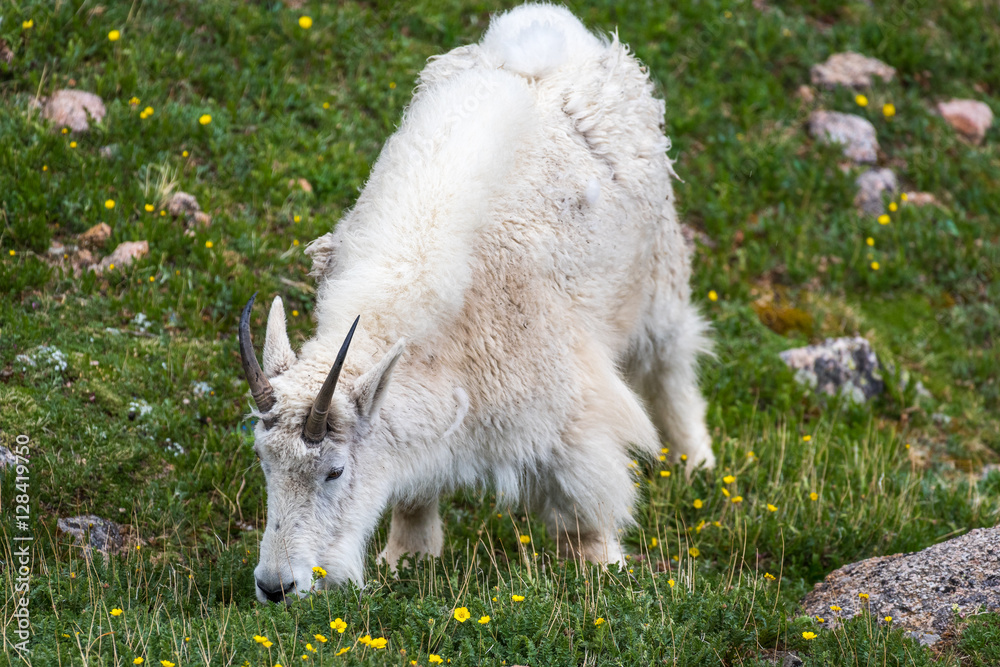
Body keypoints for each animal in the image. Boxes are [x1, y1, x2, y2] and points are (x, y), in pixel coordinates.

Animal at [240, 3, 715, 604]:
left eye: (335, 472)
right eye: (264, 462)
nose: (276, 585)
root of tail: (555, 35)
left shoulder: (570, 407)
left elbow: (587, 503)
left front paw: (602, 572)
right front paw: (407, 558)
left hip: (658, 269)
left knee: (672, 358)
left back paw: (698, 460)